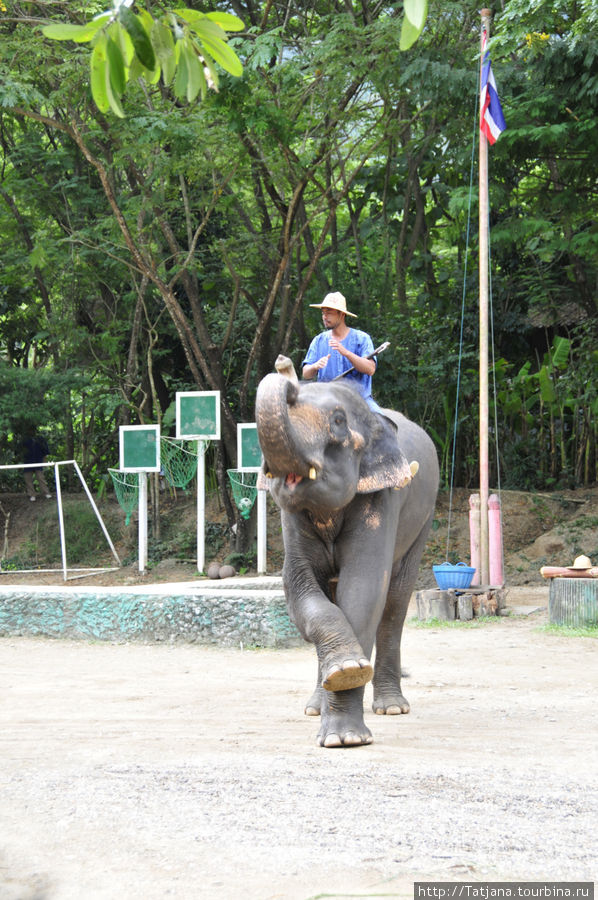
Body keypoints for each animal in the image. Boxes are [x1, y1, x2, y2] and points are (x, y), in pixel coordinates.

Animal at [254, 370, 440, 748]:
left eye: (338, 422)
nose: (285, 371)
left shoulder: (382, 498)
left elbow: (363, 590)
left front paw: (346, 737)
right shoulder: (290, 518)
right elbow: (299, 587)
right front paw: (345, 670)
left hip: (423, 520)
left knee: (395, 605)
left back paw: (392, 707)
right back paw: (314, 706)